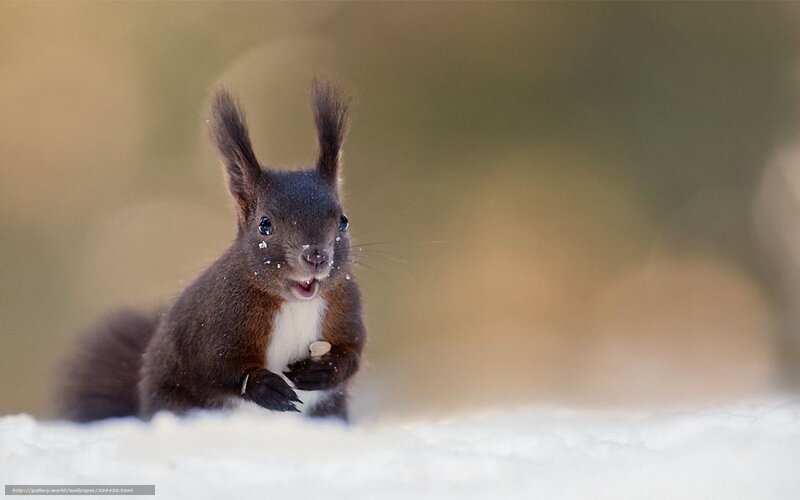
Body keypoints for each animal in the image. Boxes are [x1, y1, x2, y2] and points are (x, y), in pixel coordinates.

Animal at [56, 80, 366, 422]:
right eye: (265, 225)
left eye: (343, 221)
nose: (315, 255)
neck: (294, 303)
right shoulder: (215, 323)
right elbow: (216, 367)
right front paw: (263, 386)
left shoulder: (346, 307)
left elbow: (353, 354)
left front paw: (324, 370)